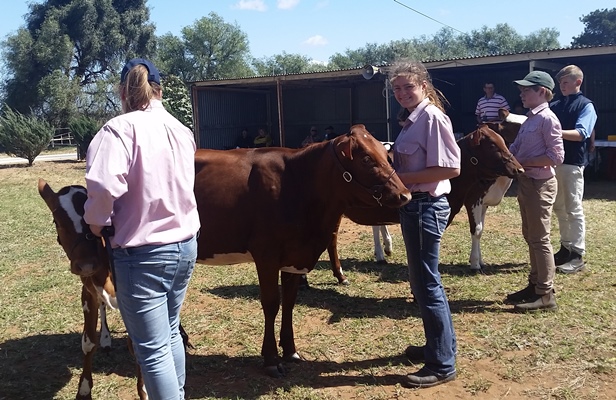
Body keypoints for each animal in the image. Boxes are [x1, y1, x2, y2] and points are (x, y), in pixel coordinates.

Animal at [195, 125, 412, 378]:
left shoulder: (294, 257)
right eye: (366, 159)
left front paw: (290, 351)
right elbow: (271, 303)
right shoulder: (266, 254)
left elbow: (289, 302)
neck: (297, 183)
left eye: (386, 155)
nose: (406, 195)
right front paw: (271, 359)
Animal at [324, 125, 524, 284]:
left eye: (504, 142)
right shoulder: (473, 199)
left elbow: (480, 230)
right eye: (492, 145)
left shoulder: (483, 202)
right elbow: (477, 229)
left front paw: (480, 261)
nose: (519, 169)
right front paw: (475, 263)